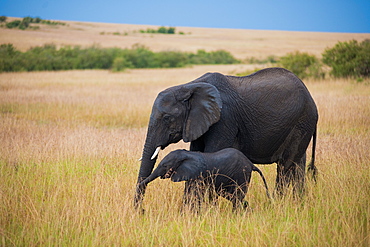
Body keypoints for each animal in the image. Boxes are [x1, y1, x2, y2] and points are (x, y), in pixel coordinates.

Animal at [137, 148, 270, 211]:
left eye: (164, 166)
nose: (143, 210)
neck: (188, 154)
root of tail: (251, 164)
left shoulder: (199, 174)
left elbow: (195, 194)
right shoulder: (192, 175)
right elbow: (189, 193)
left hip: (242, 174)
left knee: (237, 196)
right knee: (232, 196)